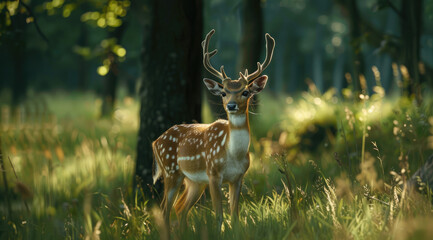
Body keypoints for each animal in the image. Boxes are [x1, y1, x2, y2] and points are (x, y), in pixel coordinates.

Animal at [152, 29, 274, 228]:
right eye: (224, 92)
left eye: (245, 92)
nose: (231, 105)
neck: (233, 154)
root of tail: (155, 142)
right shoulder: (213, 174)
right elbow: (218, 216)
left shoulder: (238, 177)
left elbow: (235, 216)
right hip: (171, 171)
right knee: (164, 210)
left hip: (194, 181)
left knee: (180, 208)